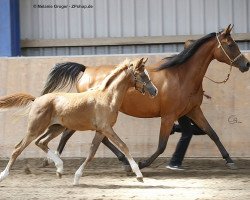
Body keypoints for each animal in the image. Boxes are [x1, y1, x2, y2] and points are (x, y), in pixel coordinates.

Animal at [0, 57, 157, 184]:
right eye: (142, 75)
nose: (154, 91)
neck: (107, 98)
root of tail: (37, 99)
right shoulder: (106, 128)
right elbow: (123, 146)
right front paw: (139, 175)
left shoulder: (100, 131)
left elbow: (91, 153)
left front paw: (76, 178)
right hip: (35, 128)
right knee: (18, 148)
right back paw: (4, 175)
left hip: (56, 128)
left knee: (41, 142)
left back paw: (59, 168)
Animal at [41, 24, 248, 169]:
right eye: (231, 45)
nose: (246, 64)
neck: (182, 76)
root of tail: (86, 70)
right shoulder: (169, 116)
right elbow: (162, 145)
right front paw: (142, 164)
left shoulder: (193, 111)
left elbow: (212, 133)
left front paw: (229, 160)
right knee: (72, 132)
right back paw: (54, 160)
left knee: (95, 135)